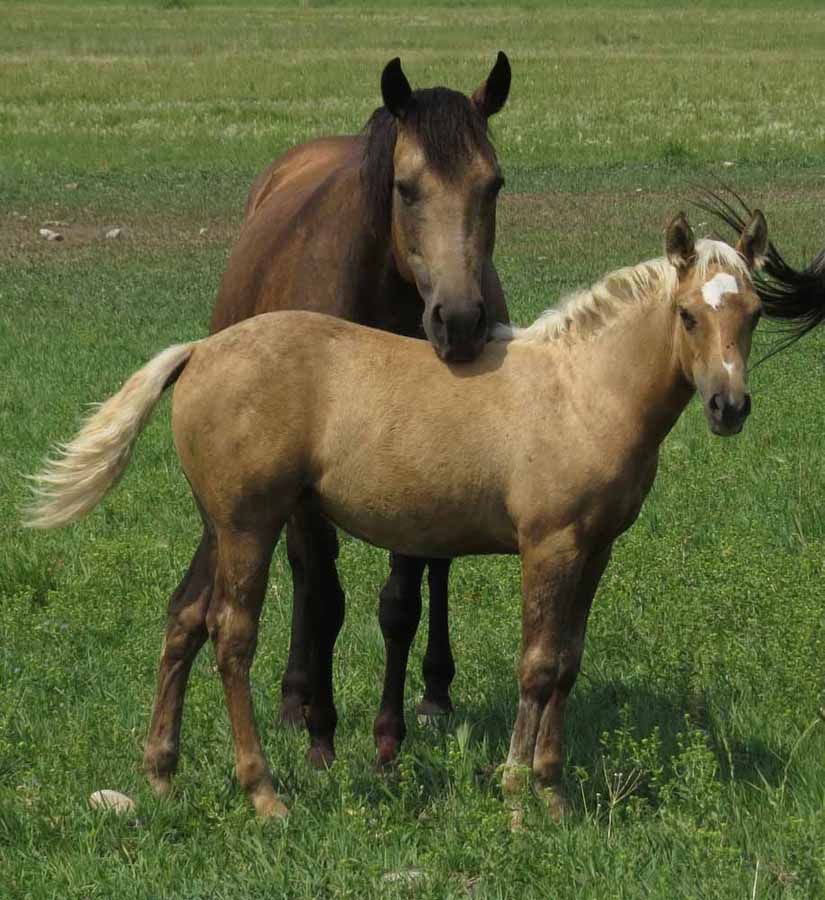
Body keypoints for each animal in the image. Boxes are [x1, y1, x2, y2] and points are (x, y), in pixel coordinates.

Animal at [25, 210, 768, 821]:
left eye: (755, 312)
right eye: (687, 315)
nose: (728, 407)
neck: (579, 391)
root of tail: (200, 351)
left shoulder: (595, 549)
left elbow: (567, 663)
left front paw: (554, 793)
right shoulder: (549, 547)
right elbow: (536, 665)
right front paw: (516, 797)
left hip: (218, 526)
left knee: (182, 619)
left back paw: (160, 775)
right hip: (249, 527)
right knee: (230, 637)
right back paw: (264, 794)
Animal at [209, 53, 512, 765]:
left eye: (493, 184)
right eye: (405, 187)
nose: (461, 321)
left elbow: (400, 601)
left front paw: (388, 737)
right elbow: (323, 596)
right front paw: (321, 730)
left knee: (437, 570)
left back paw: (436, 692)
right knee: (303, 571)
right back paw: (295, 698)